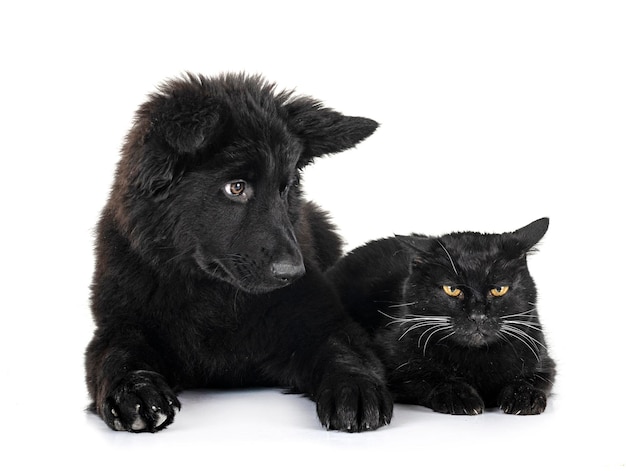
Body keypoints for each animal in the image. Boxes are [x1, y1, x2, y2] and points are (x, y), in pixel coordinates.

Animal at [86, 74, 392, 436]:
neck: (214, 295)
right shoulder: (117, 325)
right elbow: (116, 355)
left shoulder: (321, 319)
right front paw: (135, 391)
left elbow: (343, 347)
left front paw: (355, 387)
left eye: (286, 187)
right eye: (236, 187)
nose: (293, 274)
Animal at [324, 219, 552, 414]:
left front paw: (525, 396)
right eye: (451, 289)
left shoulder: (545, 361)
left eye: (498, 289)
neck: (476, 359)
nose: (477, 316)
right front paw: (459, 396)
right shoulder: (393, 367)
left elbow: (534, 379)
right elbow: (425, 378)